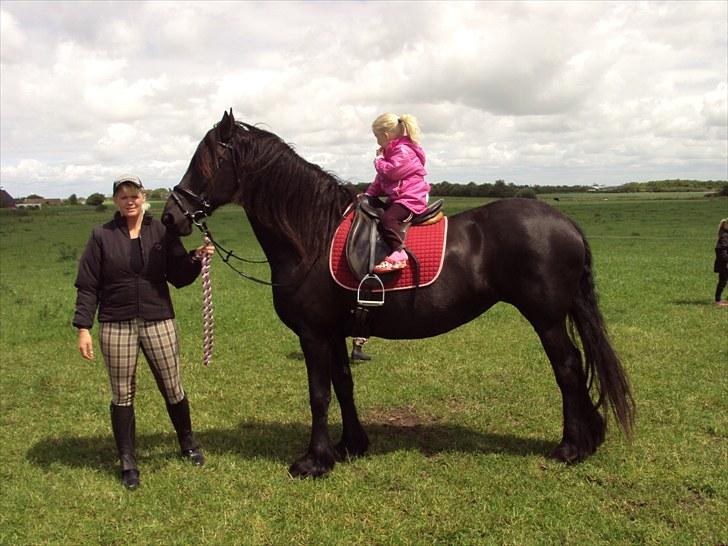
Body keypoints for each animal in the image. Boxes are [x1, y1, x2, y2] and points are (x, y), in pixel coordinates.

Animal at [164, 108, 632, 474]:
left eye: (203, 162)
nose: (171, 216)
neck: (312, 238)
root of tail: (565, 223)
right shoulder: (335, 333)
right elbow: (343, 383)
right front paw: (350, 446)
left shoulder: (313, 334)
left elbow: (319, 394)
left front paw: (313, 461)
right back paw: (589, 438)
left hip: (546, 318)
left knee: (567, 368)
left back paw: (570, 447)